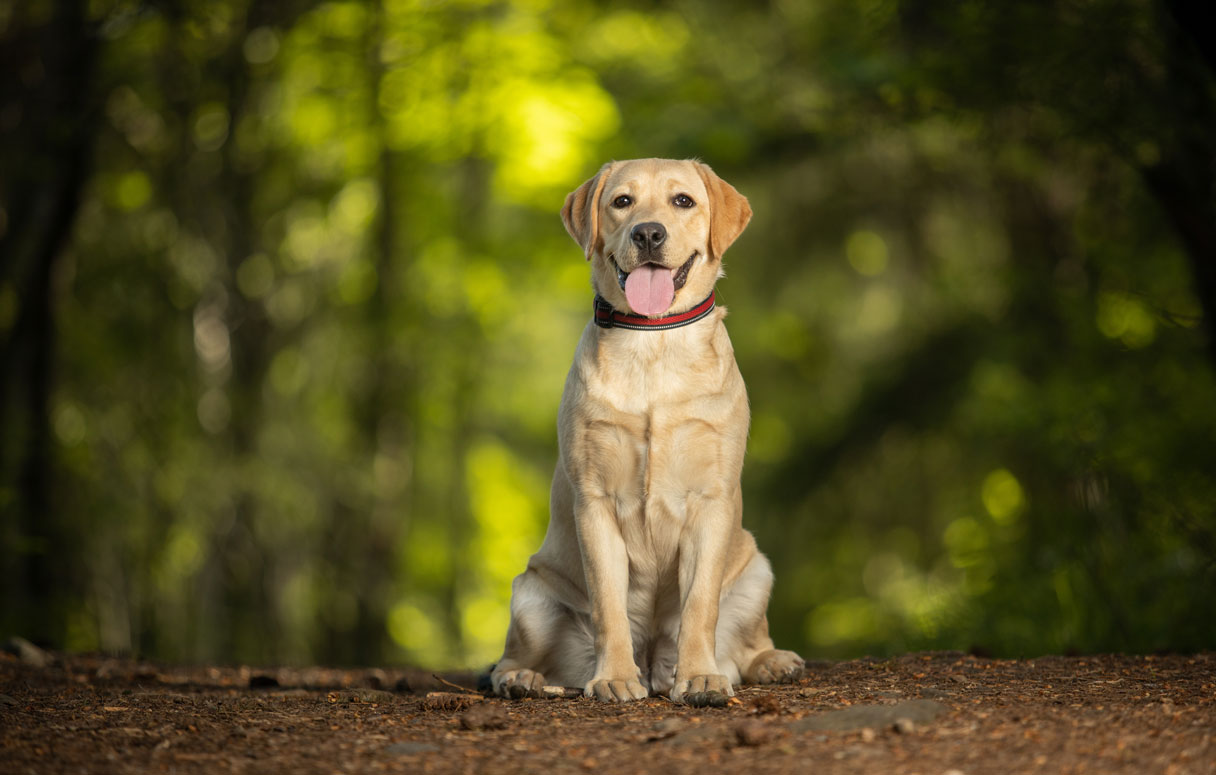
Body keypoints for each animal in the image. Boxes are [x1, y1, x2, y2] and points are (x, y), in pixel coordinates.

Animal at [488, 160, 802, 705]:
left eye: (682, 201)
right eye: (622, 202)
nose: (649, 233)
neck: (653, 338)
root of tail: (655, 659)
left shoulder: (711, 501)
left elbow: (700, 605)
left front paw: (699, 677)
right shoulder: (595, 502)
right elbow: (608, 606)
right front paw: (614, 676)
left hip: (756, 570)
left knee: (748, 644)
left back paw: (771, 662)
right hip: (530, 595)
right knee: (514, 657)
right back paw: (522, 679)